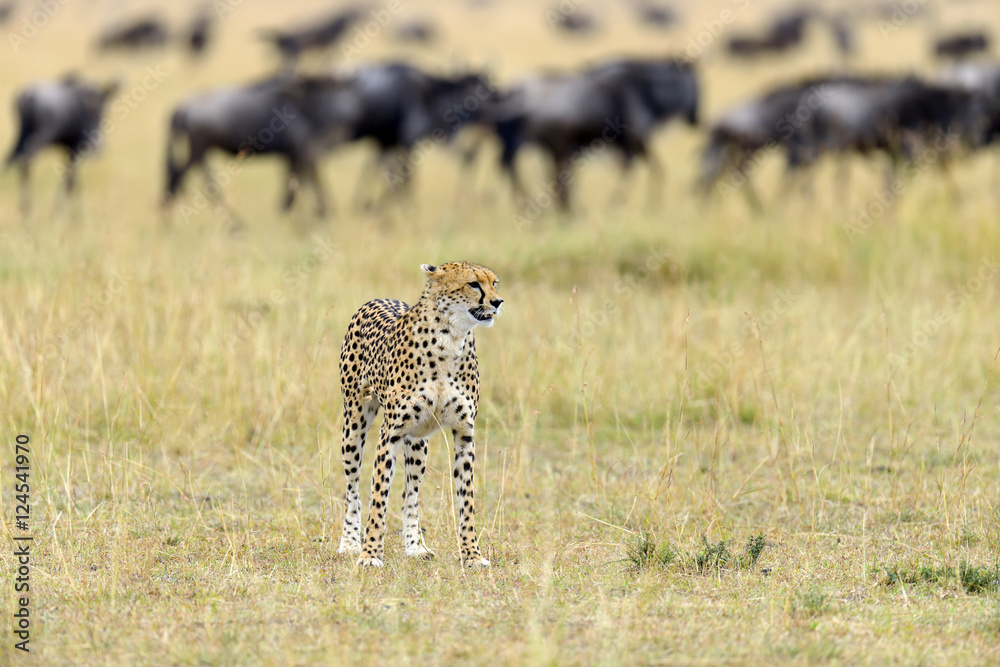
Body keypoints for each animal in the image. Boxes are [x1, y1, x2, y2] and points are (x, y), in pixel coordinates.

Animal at [336, 261, 503, 568]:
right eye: (473, 284)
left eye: (494, 283)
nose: (498, 302)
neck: (450, 338)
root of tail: (378, 298)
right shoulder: (390, 434)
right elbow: (378, 498)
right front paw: (370, 554)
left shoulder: (465, 434)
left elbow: (467, 502)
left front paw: (472, 556)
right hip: (353, 425)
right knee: (352, 487)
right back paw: (350, 542)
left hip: (418, 443)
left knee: (410, 494)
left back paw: (415, 547)